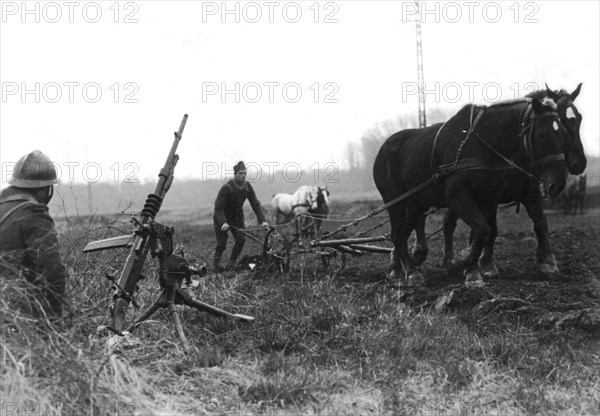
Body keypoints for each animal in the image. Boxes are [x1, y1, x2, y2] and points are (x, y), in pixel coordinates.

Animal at [376, 97, 568, 288]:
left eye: (563, 132)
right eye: (541, 134)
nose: (558, 183)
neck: (482, 145)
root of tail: (385, 146)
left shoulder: (492, 197)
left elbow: (485, 232)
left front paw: (470, 270)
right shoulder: (458, 196)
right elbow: (482, 230)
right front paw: (461, 265)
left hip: (417, 200)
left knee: (406, 231)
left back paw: (402, 267)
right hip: (395, 200)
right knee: (398, 235)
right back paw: (410, 273)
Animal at [432, 84, 584, 278]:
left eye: (579, 118)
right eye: (563, 119)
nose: (579, 163)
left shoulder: (530, 193)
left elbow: (541, 222)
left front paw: (548, 262)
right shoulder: (492, 194)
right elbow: (491, 228)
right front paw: (486, 264)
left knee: (448, 222)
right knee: (449, 223)